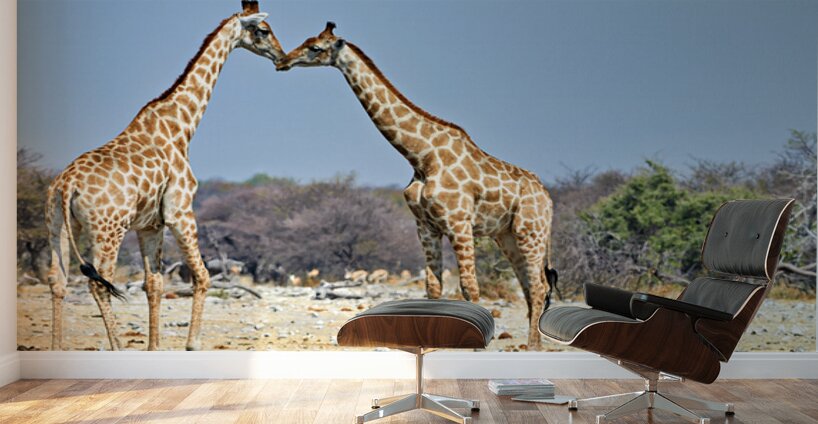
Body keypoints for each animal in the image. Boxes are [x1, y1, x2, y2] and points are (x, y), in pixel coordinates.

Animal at [44, 0, 285, 351]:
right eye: (264, 30)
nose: (281, 55)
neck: (181, 126)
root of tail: (66, 185)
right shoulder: (180, 210)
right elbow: (203, 276)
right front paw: (192, 343)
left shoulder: (150, 224)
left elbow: (153, 284)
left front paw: (154, 346)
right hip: (108, 230)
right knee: (99, 283)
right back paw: (116, 347)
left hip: (58, 227)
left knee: (58, 281)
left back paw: (56, 347)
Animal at [277, 23, 558, 349]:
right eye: (307, 40)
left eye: (316, 48)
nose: (282, 60)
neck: (422, 157)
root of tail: (548, 198)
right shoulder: (426, 226)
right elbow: (433, 289)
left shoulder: (459, 223)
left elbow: (469, 287)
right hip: (508, 236)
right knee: (529, 285)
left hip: (531, 232)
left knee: (538, 286)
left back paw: (534, 345)